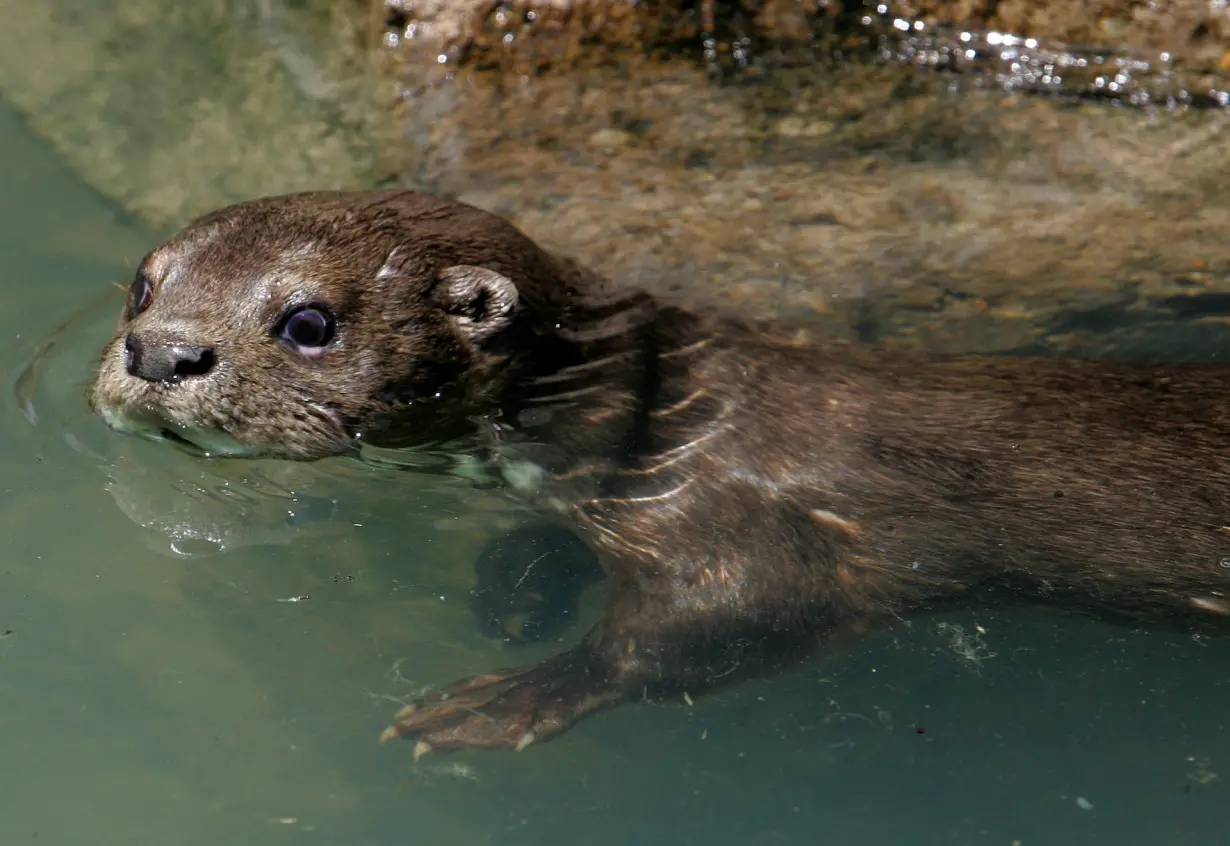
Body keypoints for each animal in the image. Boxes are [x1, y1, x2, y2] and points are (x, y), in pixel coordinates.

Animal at [91, 193, 1230, 762]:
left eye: (309, 322)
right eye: (143, 284)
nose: (159, 352)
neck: (654, 424)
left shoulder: (747, 533)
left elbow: (708, 627)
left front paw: (501, 700)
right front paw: (516, 585)